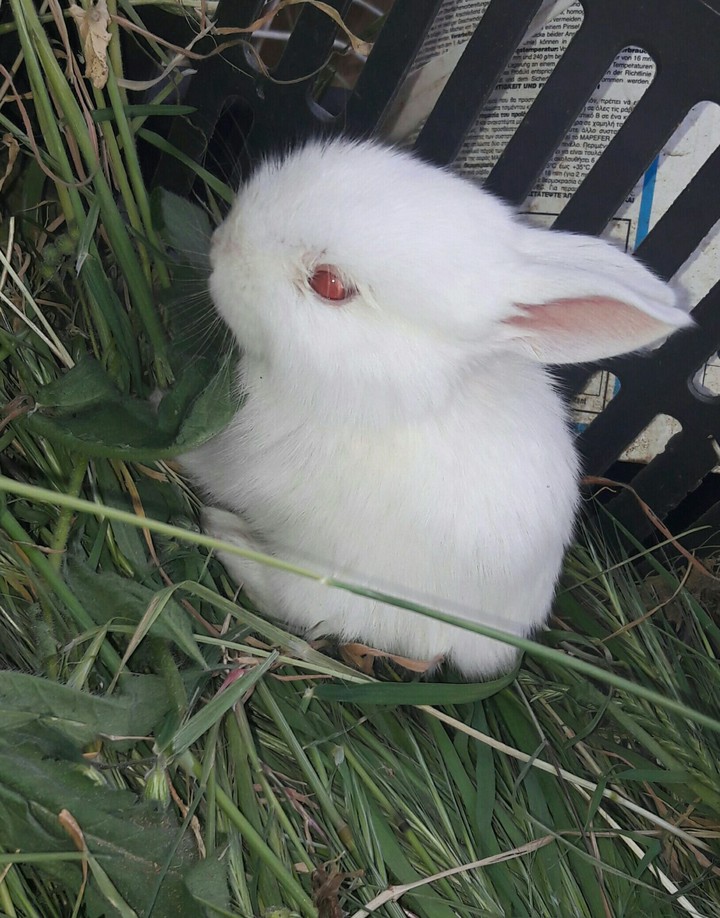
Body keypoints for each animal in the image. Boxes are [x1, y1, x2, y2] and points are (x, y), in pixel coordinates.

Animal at [181, 138, 691, 679]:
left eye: (329, 285)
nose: (220, 245)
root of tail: (493, 642)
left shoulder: (242, 463)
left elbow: (209, 467)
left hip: (329, 586)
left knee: (285, 598)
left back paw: (222, 531)